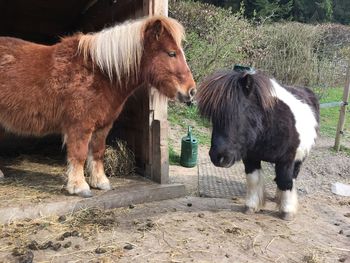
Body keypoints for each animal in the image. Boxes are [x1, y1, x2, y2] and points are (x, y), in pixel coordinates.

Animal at [0, 16, 197, 198]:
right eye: (171, 53)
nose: (192, 91)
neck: (99, 73)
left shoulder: (102, 126)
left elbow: (97, 152)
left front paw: (100, 182)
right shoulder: (80, 126)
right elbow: (79, 155)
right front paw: (79, 187)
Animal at [197, 68, 320, 221]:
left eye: (239, 112)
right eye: (213, 117)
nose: (218, 157)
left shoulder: (287, 159)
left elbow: (285, 180)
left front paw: (287, 211)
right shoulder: (250, 158)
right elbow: (253, 180)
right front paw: (251, 206)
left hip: (300, 158)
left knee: (292, 176)